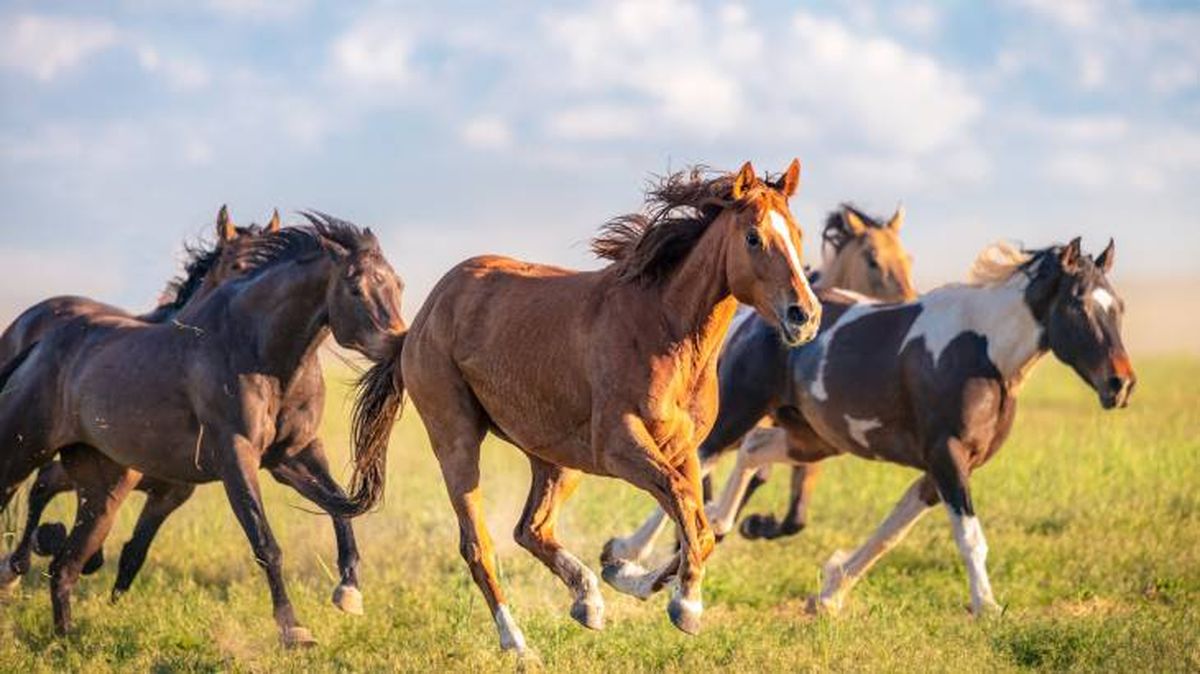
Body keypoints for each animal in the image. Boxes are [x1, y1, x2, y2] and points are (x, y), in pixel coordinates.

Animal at [349, 161, 821, 655]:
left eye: (798, 232)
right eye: (753, 237)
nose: (804, 316)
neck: (664, 331)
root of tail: (422, 318)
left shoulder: (683, 449)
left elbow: (699, 523)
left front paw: (627, 573)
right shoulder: (619, 447)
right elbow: (685, 506)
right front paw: (685, 604)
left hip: (557, 459)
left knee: (531, 528)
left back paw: (588, 600)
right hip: (457, 441)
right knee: (478, 545)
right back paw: (518, 643)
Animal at [605, 202, 918, 562]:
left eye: (907, 259)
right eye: (872, 260)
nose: (911, 300)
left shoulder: (807, 436)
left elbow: (794, 513)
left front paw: (754, 524)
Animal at [702, 238, 1135, 617]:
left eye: (1119, 307)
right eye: (1078, 305)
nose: (1121, 384)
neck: (984, 355)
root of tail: (750, 317)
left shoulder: (942, 468)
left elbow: (890, 533)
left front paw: (829, 593)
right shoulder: (947, 457)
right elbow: (969, 538)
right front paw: (987, 607)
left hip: (813, 438)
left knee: (752, 450)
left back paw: (720, 523)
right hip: (739, 412)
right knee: (702, 459)